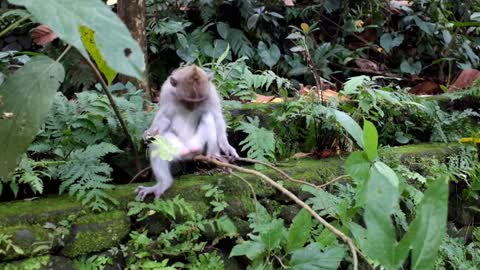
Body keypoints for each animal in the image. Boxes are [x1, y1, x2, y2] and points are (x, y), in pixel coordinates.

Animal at [135, 64, 238, 199]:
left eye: (199, 101)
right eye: (187, 101)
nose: (192, 108)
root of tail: (190, 151)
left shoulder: (211, 93)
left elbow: (216, 117)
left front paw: (226, 146)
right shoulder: (166, 92)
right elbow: (165, 117)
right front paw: (150, 132)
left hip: (197, 144)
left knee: (208, 116)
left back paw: (214, 155)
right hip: (178, 149)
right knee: (157, 144)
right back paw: (163, 184)